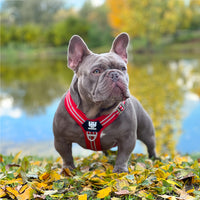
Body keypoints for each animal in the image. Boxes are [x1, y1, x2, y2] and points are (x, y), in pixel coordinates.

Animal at [53, 32, 156, 172]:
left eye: (123, 68)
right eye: (96, 71)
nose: (114, 74)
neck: (95, 111)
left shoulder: (127, 138)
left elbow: (123, 155)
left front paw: (120, 170)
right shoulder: (61, 139)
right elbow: (66, 155)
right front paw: (68, 169)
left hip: (146, 132)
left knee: (150, 145)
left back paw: (154, 159)